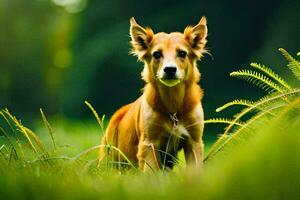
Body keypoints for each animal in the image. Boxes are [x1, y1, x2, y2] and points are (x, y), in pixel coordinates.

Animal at [99, 16, 207, 171]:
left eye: (182, 53)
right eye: (156, 54)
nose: (170, 69)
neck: (173, 110)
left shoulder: (194, 141)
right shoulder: (149, 143)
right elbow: (152, 171)